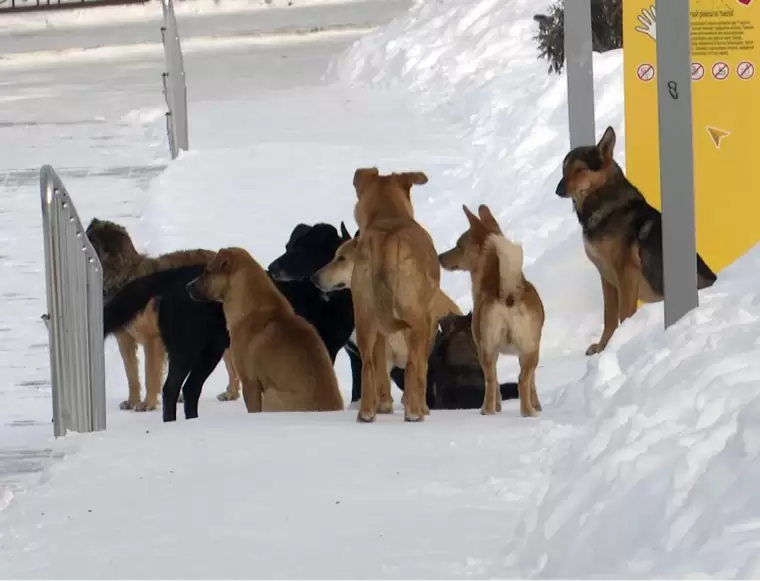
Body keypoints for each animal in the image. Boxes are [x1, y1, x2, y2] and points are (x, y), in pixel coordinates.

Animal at [85, 215, 238, 410]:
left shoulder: (152, 338)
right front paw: (132, 401)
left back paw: (232, 393)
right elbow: (131, 374)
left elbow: (150, 372)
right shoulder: (125, 339)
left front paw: (147, 404)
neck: (123, 275)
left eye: (92, 241)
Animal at [348, 168, 440, 422]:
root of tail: (387, 240)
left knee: (368, 365)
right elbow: (422, 369)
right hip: (415, 319)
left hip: (365, 315)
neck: (389, 215)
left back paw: (367, 413)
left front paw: (384, 405)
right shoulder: (429, 318)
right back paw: (415, 412)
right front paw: (423, 407)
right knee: (412, 366)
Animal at [436, 204, 544, 416]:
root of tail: (508, 293)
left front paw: (497, 408)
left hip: (488, 350)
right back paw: (528, 412)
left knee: (493, 380)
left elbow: (494, 386)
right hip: (530, 350)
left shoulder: (482, 347)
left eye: (458, 245)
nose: (439, 257)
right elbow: (533, 383)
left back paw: (487, 411)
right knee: (523, 379)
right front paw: (537, 405)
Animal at [556, 126, 716, 354]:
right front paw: (602, 347)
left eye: (579, 169)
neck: (602, 200)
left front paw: (621, 342)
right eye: (564, 170)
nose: (558, 190)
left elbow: (623, 316)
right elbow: (609, 318)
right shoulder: (606, 276)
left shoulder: (626, 274)